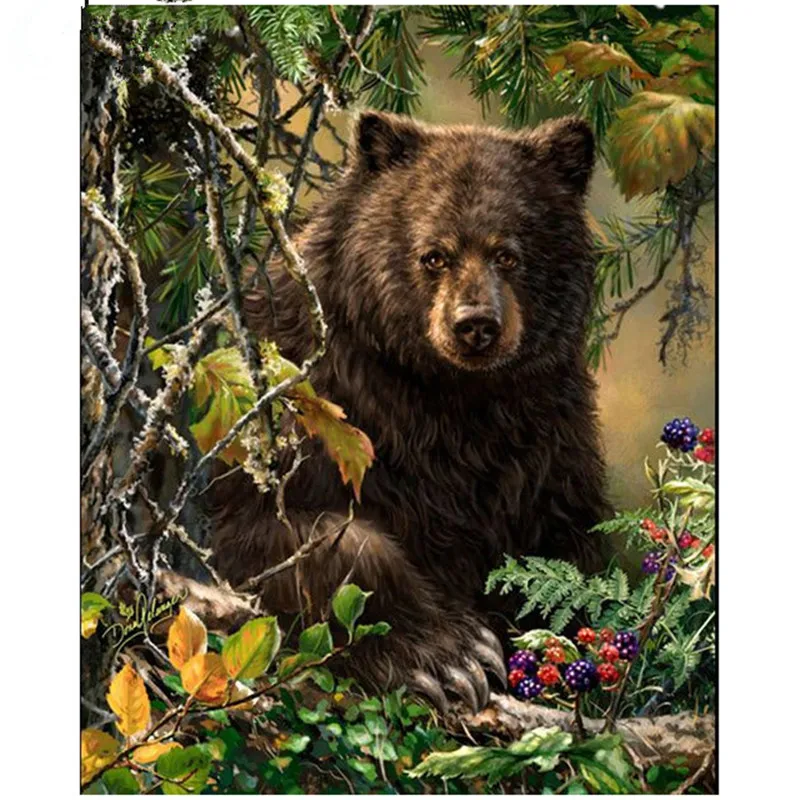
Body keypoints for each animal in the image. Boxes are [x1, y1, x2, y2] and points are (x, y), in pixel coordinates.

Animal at [210, 111, 610, 713]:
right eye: (434, 255)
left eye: (508, 254)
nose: (475, 325)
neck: (451, 398)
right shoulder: (306, 411)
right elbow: (289, 538)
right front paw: (452, 658)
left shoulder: (547, 438)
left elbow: (569, 547)